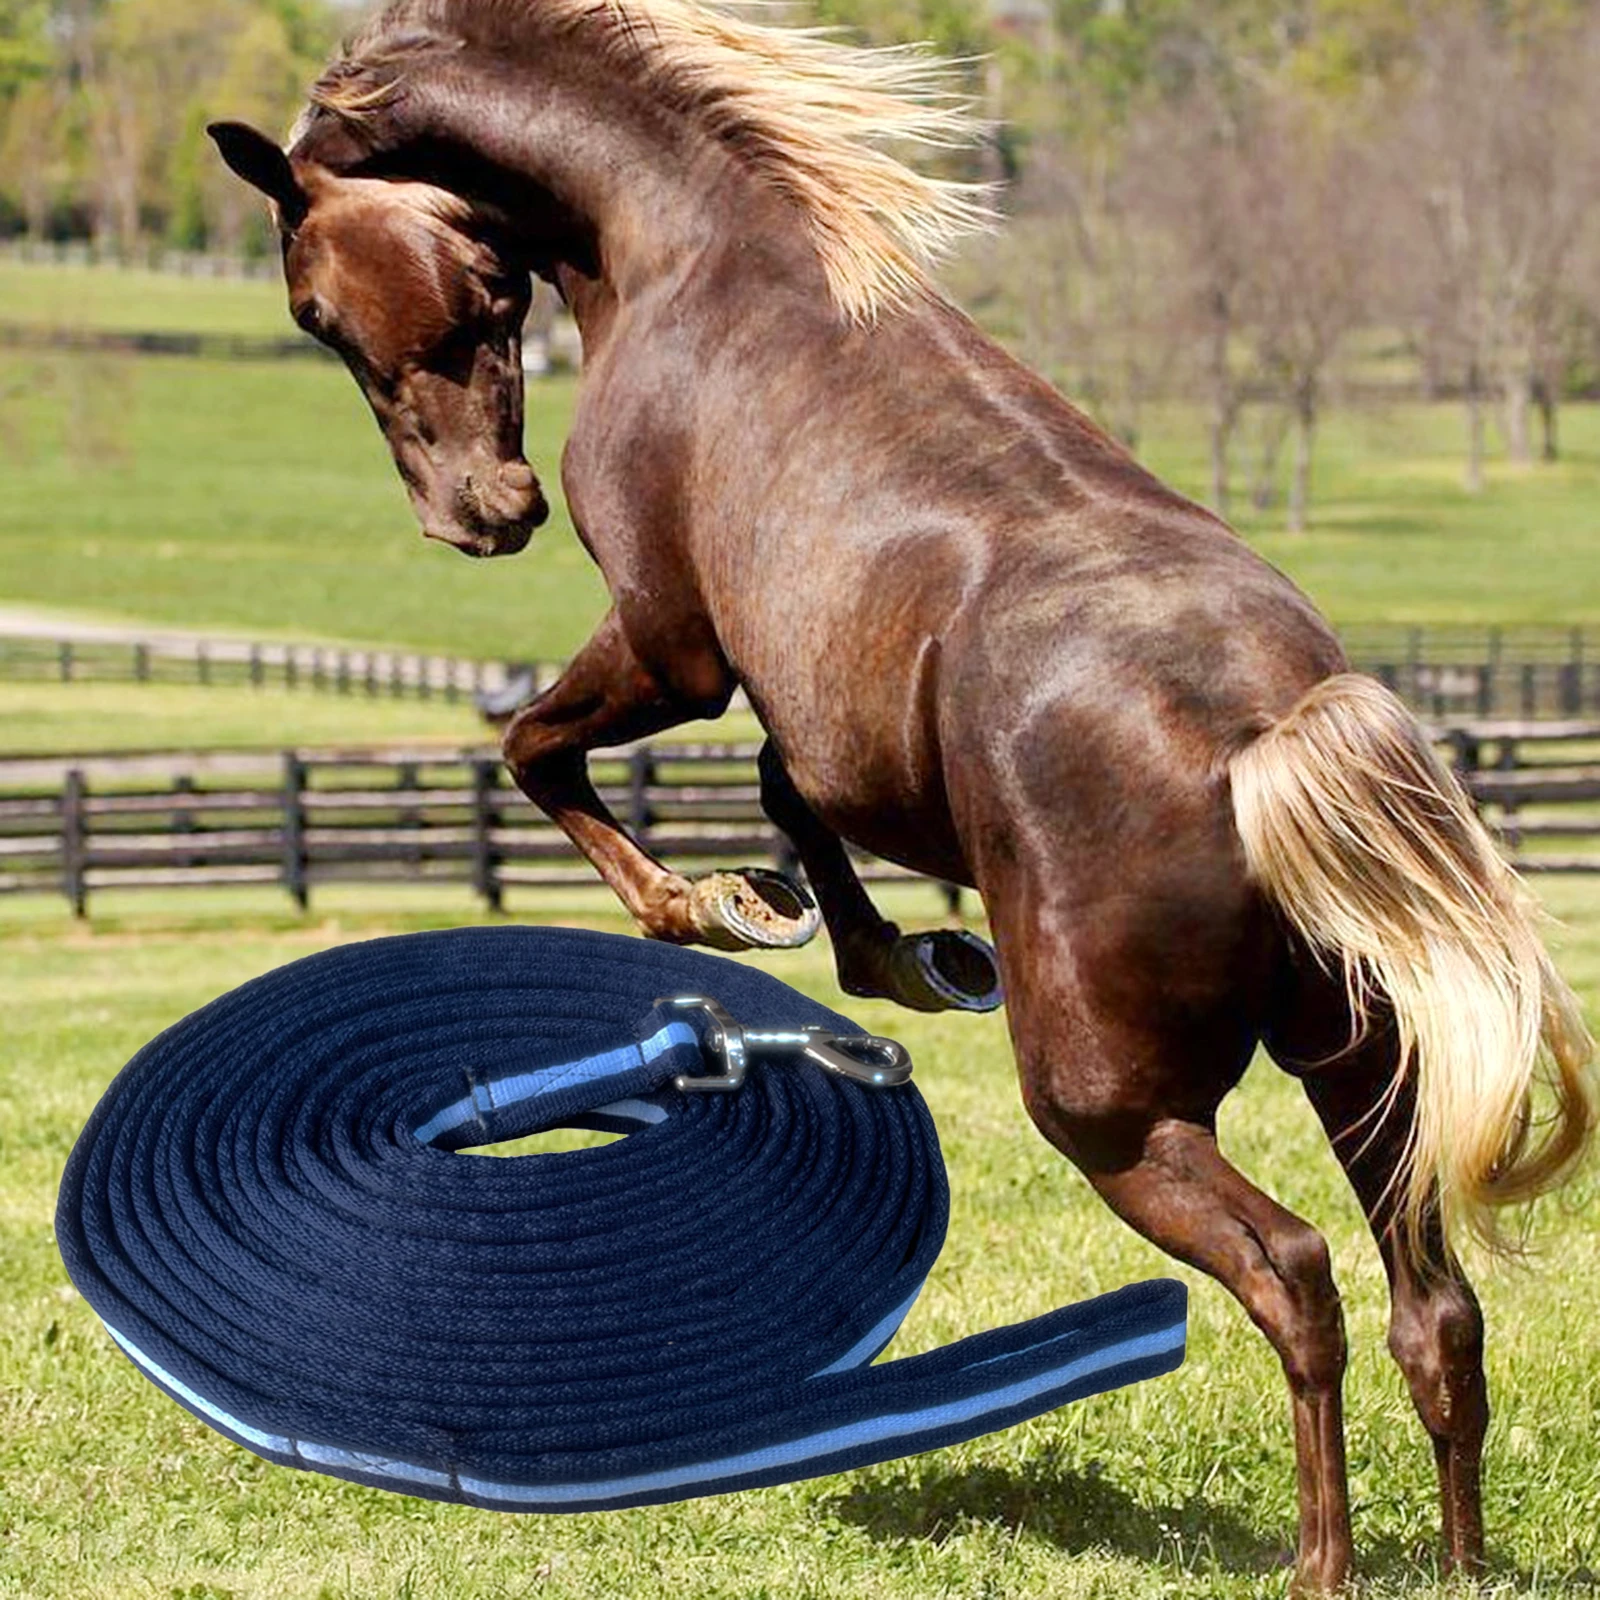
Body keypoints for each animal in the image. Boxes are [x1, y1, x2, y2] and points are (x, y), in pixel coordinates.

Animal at [208, 2, 1597, 1589]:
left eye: (314, 310)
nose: (478, 520)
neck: (689, 245)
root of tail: (1265, 735)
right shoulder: (815, 717)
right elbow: (780, 789)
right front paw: (886, 947)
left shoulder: (674, 644)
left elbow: (542, 751)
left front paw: (721, 909)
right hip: (1366, 1073)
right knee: (1437, 1312)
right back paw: (1459, 1559)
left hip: (1117, 1120)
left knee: (1296, 1276)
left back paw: (1322, 1563)